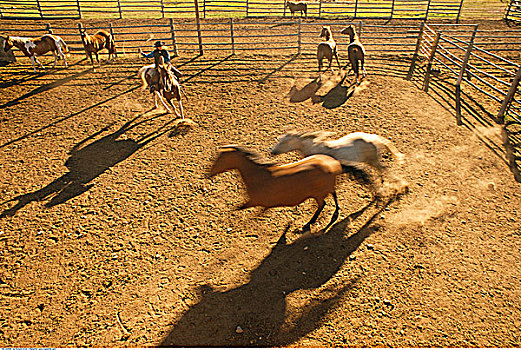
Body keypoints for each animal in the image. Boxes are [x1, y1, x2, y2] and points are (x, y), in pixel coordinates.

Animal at [205, 146, 372, 234]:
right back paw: (335, 211)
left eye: (220, 159)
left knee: (322, 204)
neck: (258, 175)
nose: (208, 173)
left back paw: (308, 224)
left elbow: (239, 209)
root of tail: (334, 163)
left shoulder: (255, 201)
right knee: (334, 195)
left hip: (318, 194)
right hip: (325, 189)